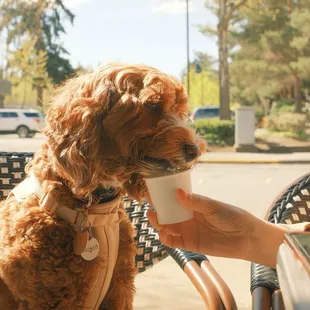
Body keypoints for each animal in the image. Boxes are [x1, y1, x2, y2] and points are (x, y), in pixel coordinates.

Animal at [0, 61, 206, 308]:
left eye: (179, 110)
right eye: (153, 105)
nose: (195, 150)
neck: (92, 207)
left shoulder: (120, 283)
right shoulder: (50, 296)